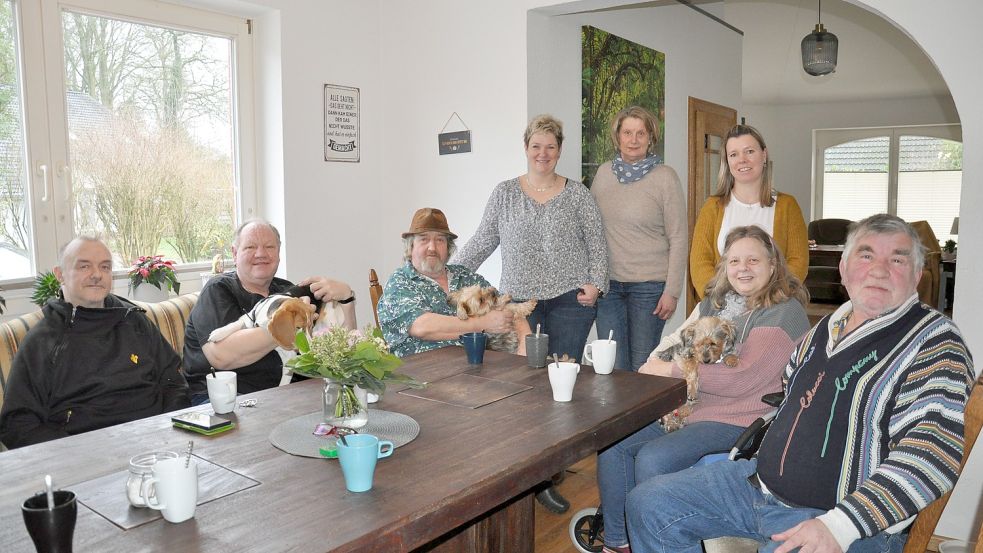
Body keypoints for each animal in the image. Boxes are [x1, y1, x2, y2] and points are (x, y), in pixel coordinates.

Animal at [208, 284, 346, 384]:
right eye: (298, 328)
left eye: (310, 326)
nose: (311, 351)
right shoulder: (248, 318)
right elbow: (236, 323)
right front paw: (218, 333)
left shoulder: (289, 357)